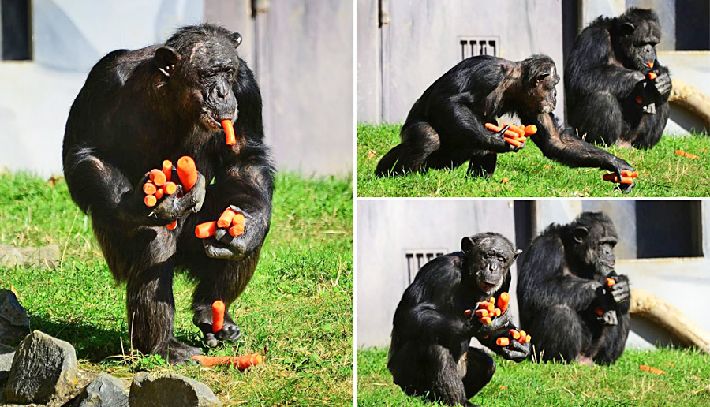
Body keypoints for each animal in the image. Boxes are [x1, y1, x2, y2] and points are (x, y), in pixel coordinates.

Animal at [62, 24, 276, 364]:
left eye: (228, 72)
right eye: (207, 74)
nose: (222, 93)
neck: (174, 97)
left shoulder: (247, 87)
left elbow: (244, 158)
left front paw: (250, 225)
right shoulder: (105, 79)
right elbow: (85, 150)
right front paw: (144, 202)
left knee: (233, 225)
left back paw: (212, 311)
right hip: (117, 251)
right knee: (157, 241)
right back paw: (163, 345)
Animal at [376, 53, 636, 189]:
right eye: (554, 84)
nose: (555, 96)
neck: (514, 83)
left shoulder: (534, 106)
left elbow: (555, 140)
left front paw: (618, 165)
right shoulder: (487, 71)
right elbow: (450, 101)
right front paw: (499, 140)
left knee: (478, 148)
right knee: (426, 137)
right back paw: (395, 175)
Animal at [386, 234, 532, 406]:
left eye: (501, 259)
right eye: (486, 255)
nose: (493, 267)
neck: (469, 278)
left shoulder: (507, 279)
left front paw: (516, 345)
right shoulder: (440, 271)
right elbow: (408, 314)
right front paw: (475, 323)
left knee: (487, 363)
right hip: (404, 378)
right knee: (436, 347)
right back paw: (459, 402)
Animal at [516, 212, 636, 364]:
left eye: (612, 244)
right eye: (603, 243)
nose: (609, 253)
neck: (574, 255)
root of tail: (584, 360)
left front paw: (623, 286)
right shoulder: (545, 247)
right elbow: (535, 289)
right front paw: (602, 294)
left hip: (593, 352)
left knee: (623, 311)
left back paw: (605, 361)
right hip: (537, 353)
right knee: (561, 312)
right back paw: (560, 361)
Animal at [568, 7, 672, 149]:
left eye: (653, 43)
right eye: (644, 42)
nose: (649, 50)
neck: (620, 47)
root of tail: (624, 145)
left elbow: (656, 67)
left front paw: (664, 80)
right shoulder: (593, 37)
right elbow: (580, 75)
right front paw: (641, 79)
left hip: (633, 137)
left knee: (662, 102)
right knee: (603, 98)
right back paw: (603, 143)